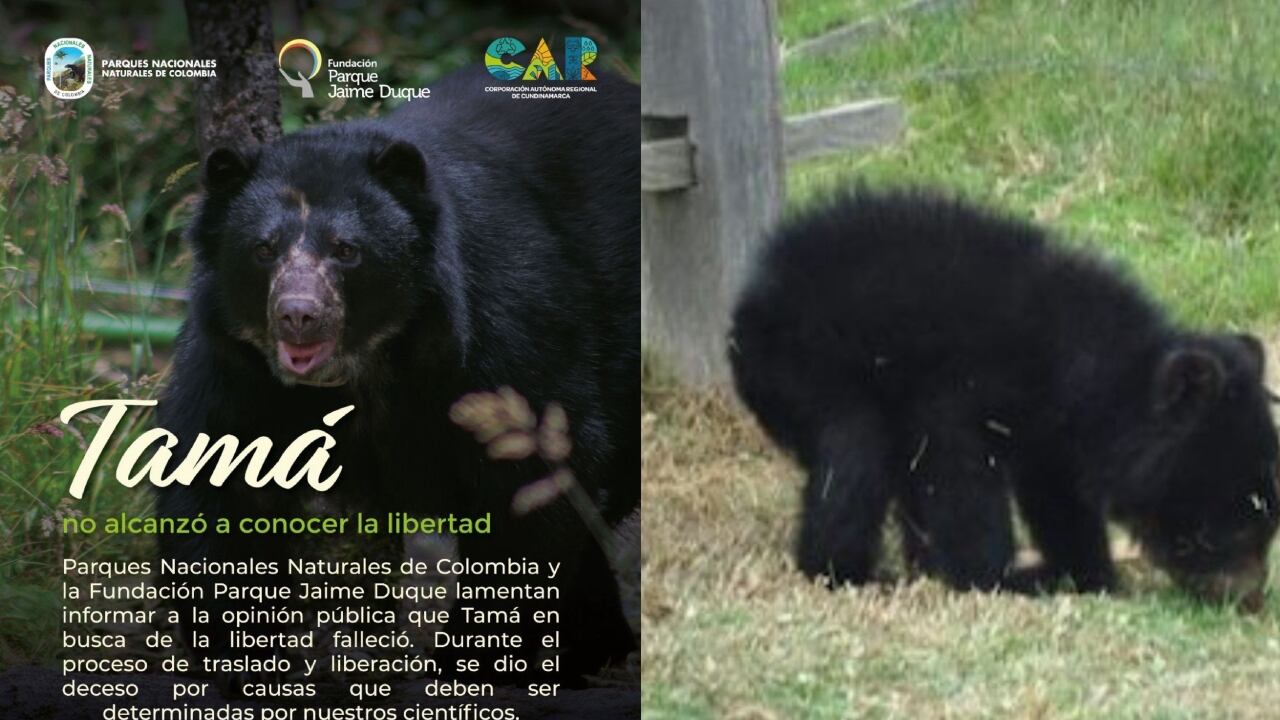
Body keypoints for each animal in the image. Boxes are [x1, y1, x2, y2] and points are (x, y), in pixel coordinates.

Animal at [154, 66, 638, 688]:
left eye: (346, 250)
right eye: (263, 249)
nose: (298, 315)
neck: (365, 362)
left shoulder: (506, 325)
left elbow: (533, 477)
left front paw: (474, 662)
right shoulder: (235, 364)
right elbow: (217, 478)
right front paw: (249, 660)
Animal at [728, 188, 1280, 609]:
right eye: (1234, 522)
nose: (1249, 599)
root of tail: (746, 301)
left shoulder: (1052, 432)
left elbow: (1058, 497)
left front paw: (1082, 571)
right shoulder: (964, 388)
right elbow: (962, 475)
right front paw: (1000, 577)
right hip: (815, 367)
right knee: (855, 458)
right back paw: (852, 572)